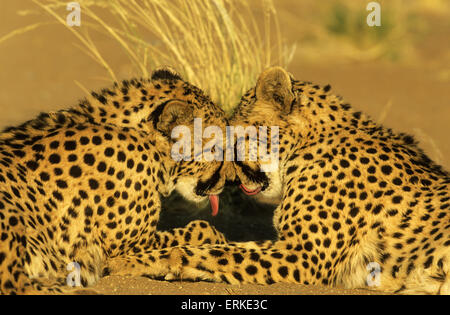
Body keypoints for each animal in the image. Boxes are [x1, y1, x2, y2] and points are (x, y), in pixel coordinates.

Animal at [109, 66, 450, 296]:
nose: (229, 178)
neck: (310, 142)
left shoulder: (305, 254)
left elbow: (210, 252)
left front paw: (127, 262)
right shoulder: (292, 245)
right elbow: (225, 247)